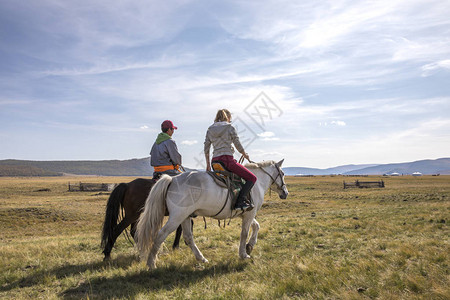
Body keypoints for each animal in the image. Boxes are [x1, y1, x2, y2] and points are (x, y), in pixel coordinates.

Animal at [135, 159, 288, 270]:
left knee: (188, 237)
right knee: (161, 235)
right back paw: (151, 264)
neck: (257, 183)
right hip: (176, 217)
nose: (285, 193)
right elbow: (244, 233)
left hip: (185, 216)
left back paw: (201, 258)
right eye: (283, 174)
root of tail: (172, 179)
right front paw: (244, 254)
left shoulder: (247, 213)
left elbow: (257, 226)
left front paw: (250, 246)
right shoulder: (249, 214)